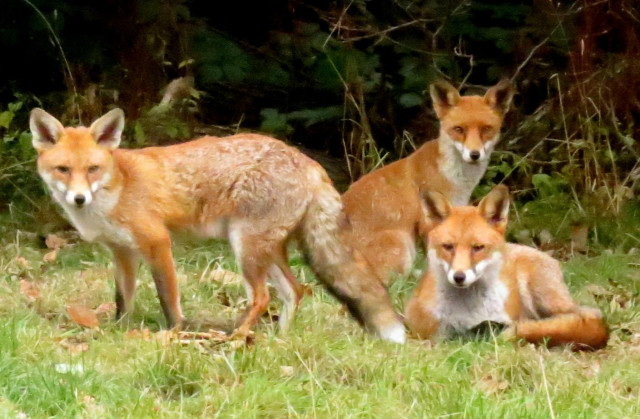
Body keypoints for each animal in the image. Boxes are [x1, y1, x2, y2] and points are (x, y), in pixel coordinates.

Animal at [29, 108, 405, 343]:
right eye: (64, 169)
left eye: (92, 169)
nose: (79, 198)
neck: (116, 188)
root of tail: (308, 162)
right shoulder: (122, 252)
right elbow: (123, 299)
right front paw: (117, 331)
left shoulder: (157, 242)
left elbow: (169, 300)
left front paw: (173, 335)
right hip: (266, 251)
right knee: (295, 291)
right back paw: (280, 338)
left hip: (246, 247)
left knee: (262, 297)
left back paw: (237, 338)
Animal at [342, 80, 514, 284]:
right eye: (459, 129)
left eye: (486, 129)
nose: (474, 154)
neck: (457, 180)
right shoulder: (429, 223)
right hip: (402, 244)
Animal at [404, 185, 609, 350]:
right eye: (448, 247)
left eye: (477, 247)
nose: (459, 277)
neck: (469, 312)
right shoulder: (423, 326)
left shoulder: (504, 319)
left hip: (543, 294)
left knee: (585, 319)